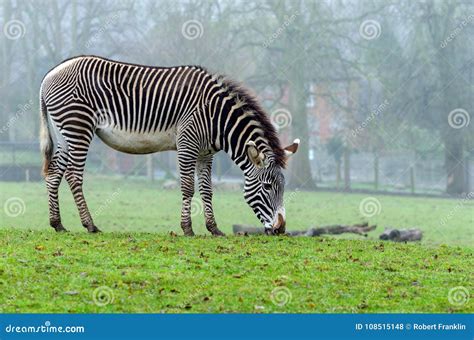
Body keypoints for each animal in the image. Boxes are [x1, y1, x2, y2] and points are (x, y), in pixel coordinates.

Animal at [40, 56, 300, 236]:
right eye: (267, 187)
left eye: (283, 187)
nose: (280, 229)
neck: (217, 118)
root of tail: (51, 73)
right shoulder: (187, 144)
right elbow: (187, 187)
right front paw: (187, 228)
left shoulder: (205, 153)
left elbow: (207, 190)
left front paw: (214, 229)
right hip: (78, 128)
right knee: (73, 176)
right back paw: (90, 224)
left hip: (64, 133)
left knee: (54, 173)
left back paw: (57, 224)